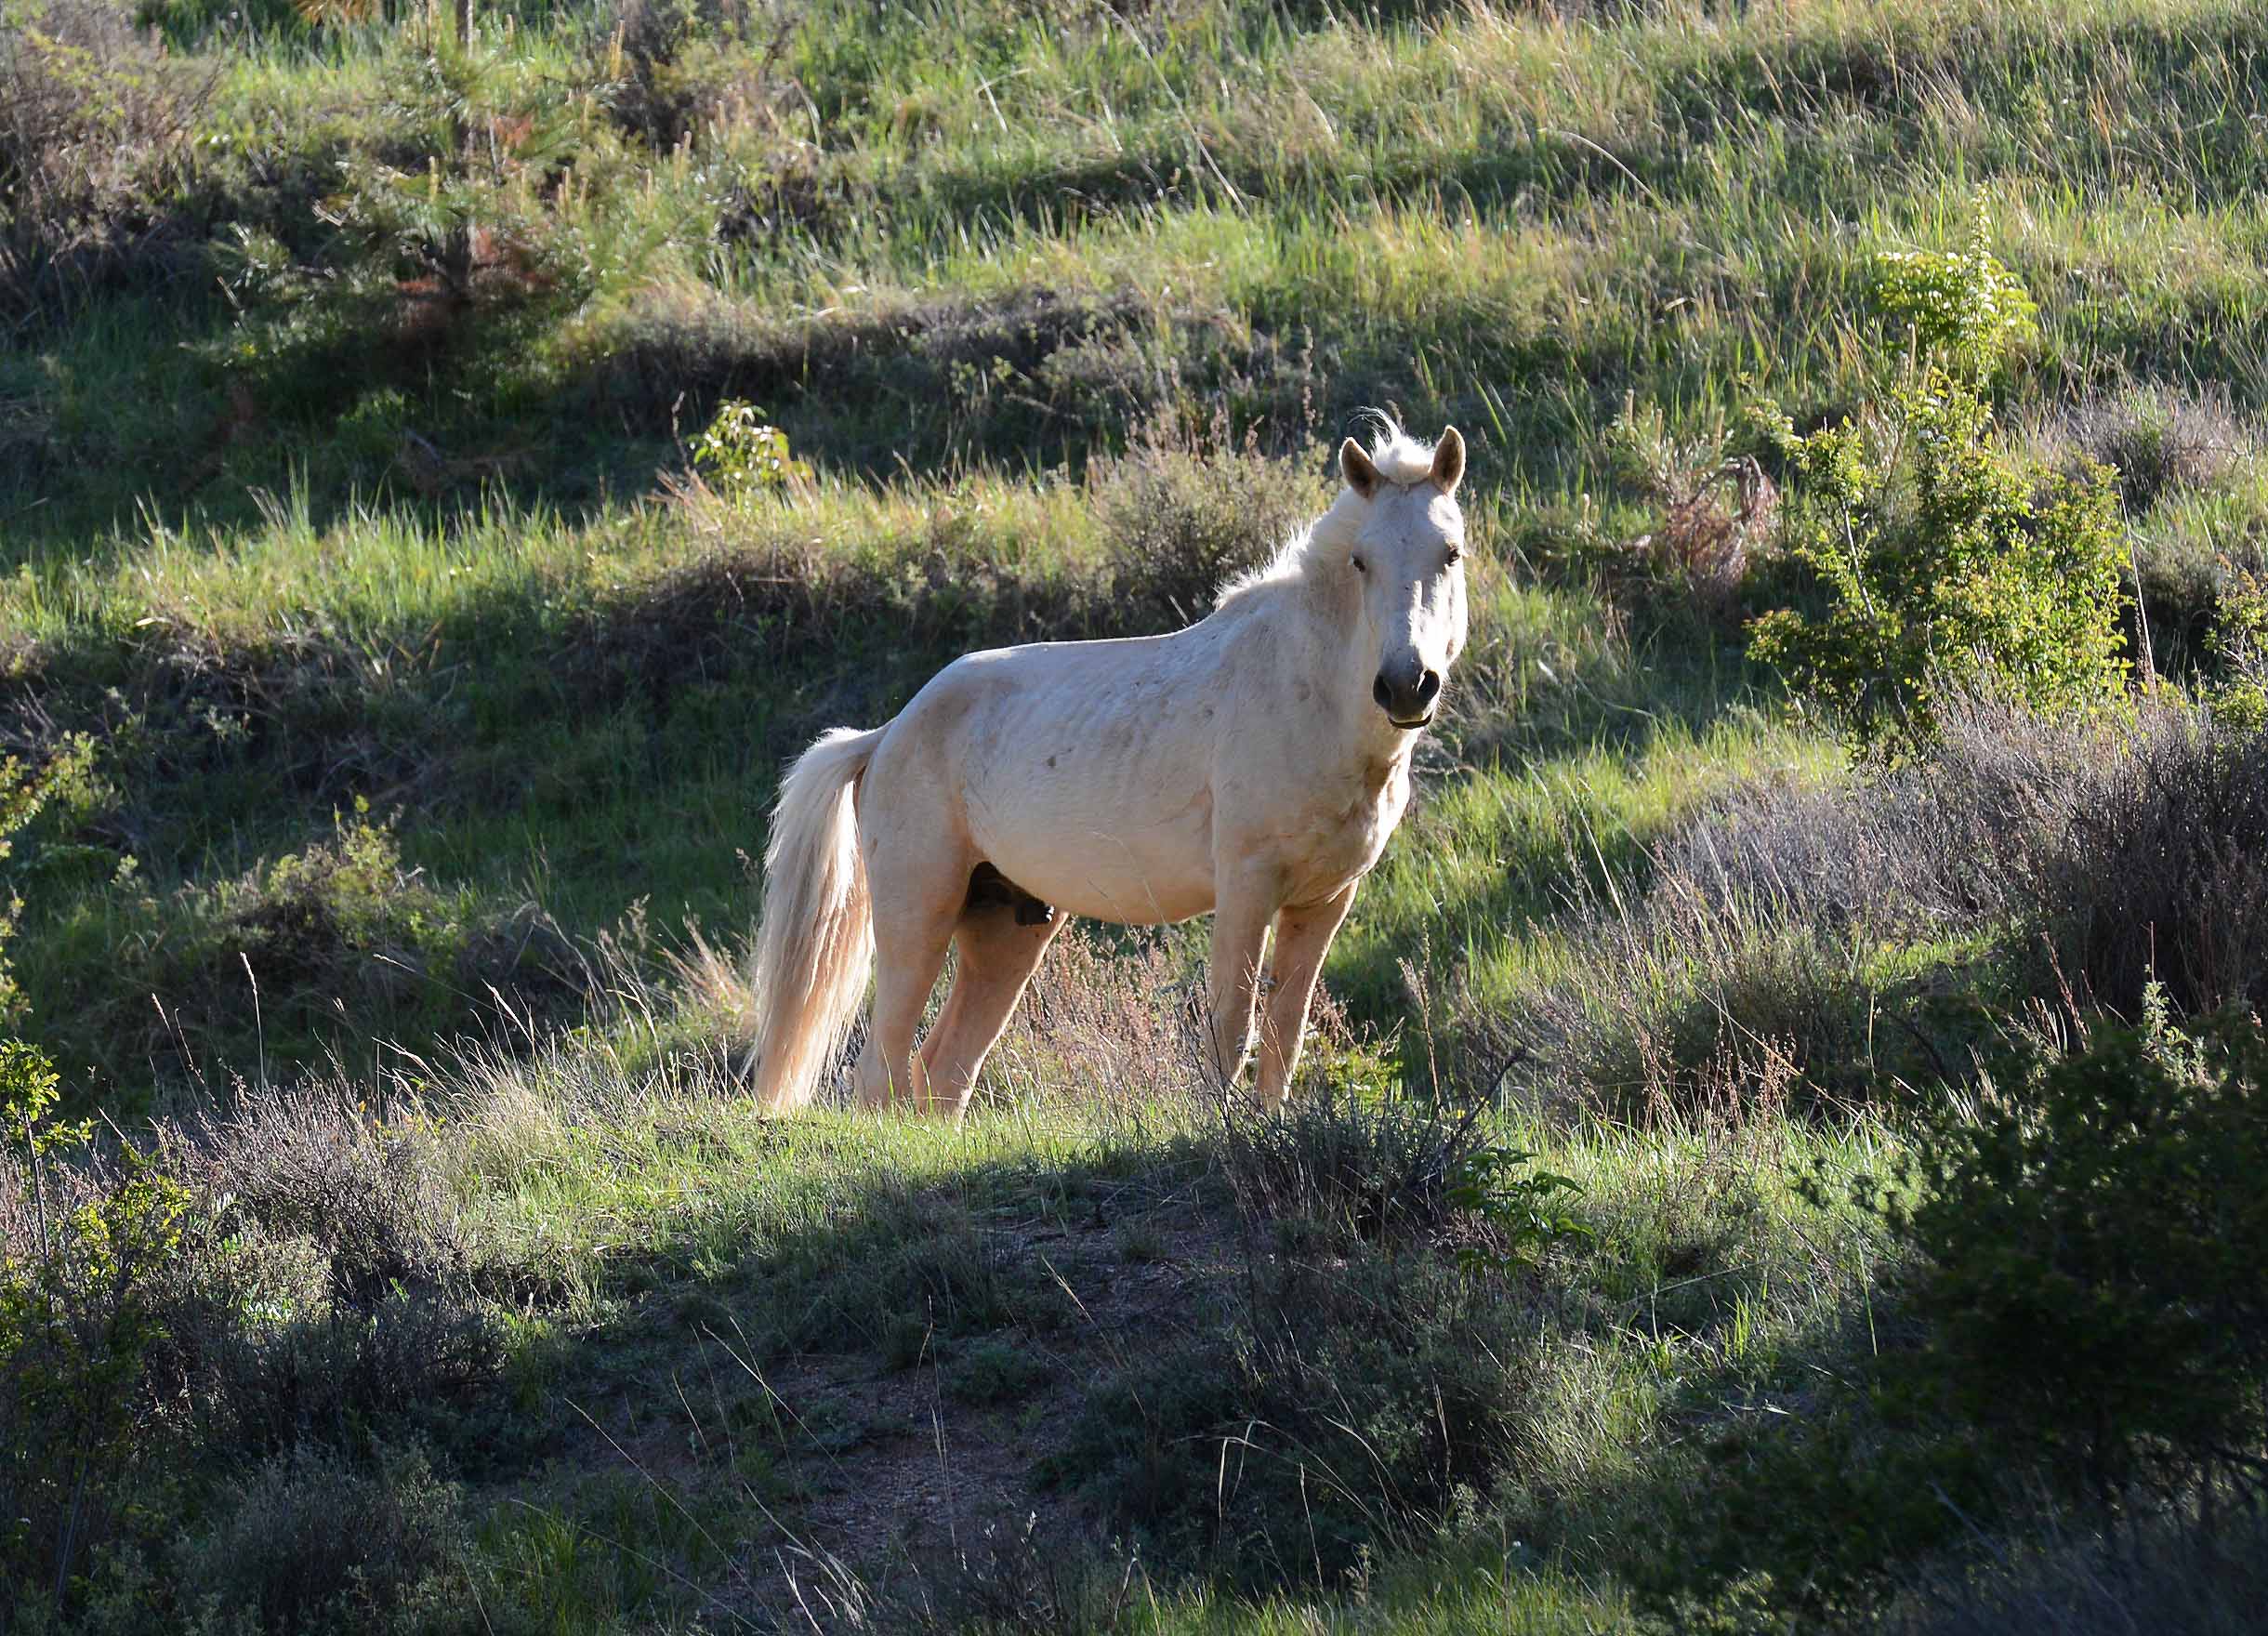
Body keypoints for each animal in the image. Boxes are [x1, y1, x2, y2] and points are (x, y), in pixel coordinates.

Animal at [753, 422, 1478, 1115]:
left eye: (1451, 553)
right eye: (1362, 560)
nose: (1406, 685)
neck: (1305, 687)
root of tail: (887, 735)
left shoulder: (1323, 901)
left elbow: (1284, 1036)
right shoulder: (1248, 887)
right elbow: (1231, 1028)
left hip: (1005, 933)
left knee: (943, 1073)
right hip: (918, 919)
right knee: (880, 1074)